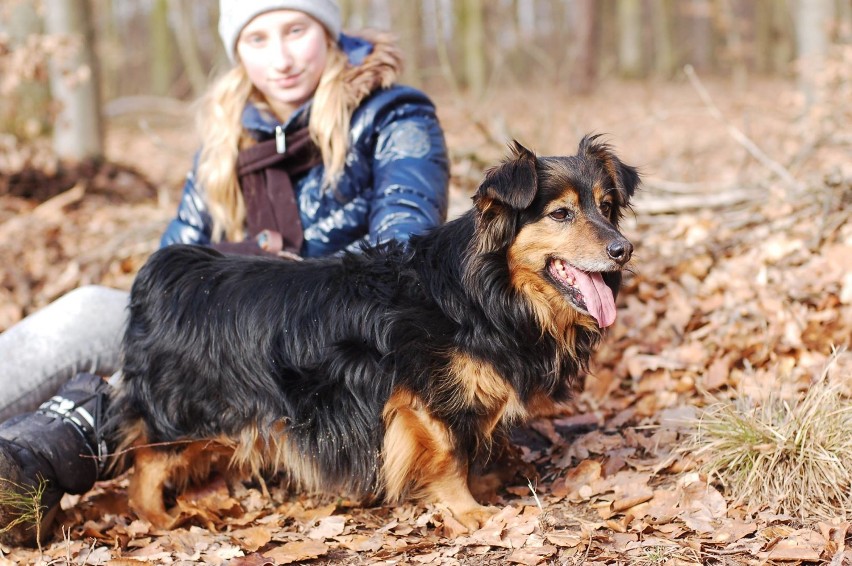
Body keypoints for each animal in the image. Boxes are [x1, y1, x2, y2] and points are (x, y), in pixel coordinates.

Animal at [110, 136, 636, 532]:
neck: (485, 292)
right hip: (186, 411)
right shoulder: (421, 395)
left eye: (607, 206)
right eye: (561, 214)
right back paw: (159, 519)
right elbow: (450, 455)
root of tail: (176, 273)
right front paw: (468, 509)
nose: (623, 249)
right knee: (145, 467)